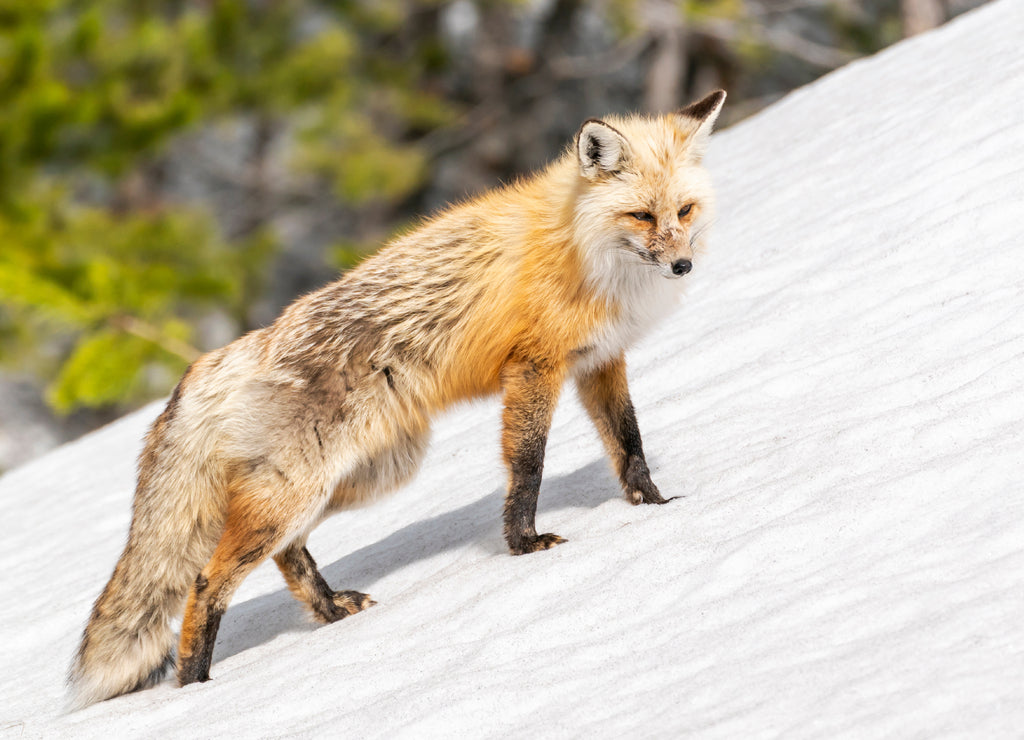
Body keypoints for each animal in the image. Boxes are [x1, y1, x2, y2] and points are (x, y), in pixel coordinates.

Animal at [67, 90, 726, 709]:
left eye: (683, 210)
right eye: (641, 215)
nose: (682, 265)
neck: (581, 245)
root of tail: (222, 358)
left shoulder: (598, 361)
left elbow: (628, 442)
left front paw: (653, 504)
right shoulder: (534, 368)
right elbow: (529, 465)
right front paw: (524, 544)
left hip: (363, 475)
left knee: (286, 553)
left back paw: (330, 610)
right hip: (306, 488)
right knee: (205, 582)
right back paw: (194, 684)